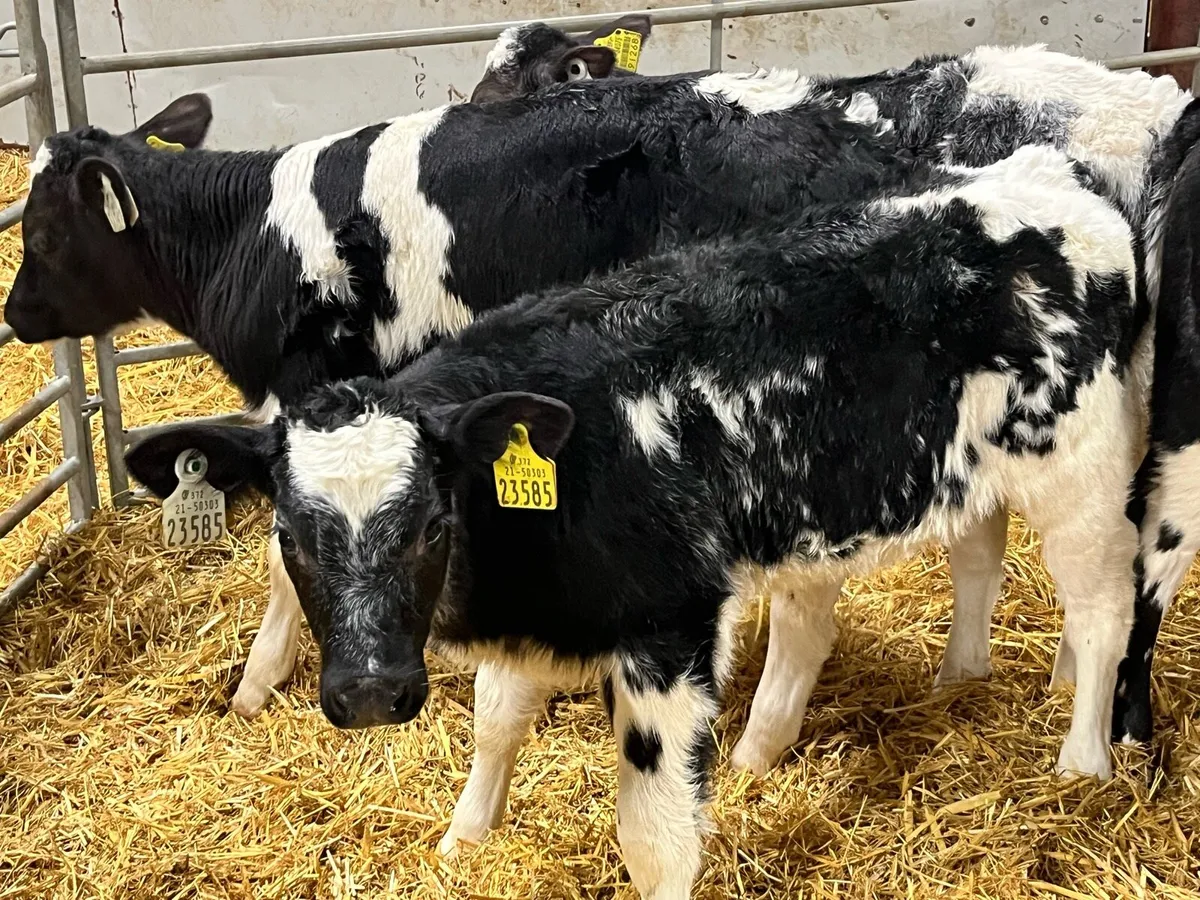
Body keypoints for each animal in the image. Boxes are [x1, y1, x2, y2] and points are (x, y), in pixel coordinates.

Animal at [2, 46, 1187, 741]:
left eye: (44, 230)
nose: (14, 317)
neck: (254, 237)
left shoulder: (326, 394)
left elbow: (287, 567)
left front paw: (256, 683)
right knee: (981, 532)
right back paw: (975, 675)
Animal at [123, 142, 1162, 899]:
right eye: (290, 536)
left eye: (428, 525)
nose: (373, 690)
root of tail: (1052, 174)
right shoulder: (541, 614)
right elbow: (495, 724)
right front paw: (464, 839)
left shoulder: (670, 635)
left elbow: (655, 835)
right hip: (970, 467)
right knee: (982, 555)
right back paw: (959, 680)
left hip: (1084, 467)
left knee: (1104, 607)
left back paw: (1081, 764)